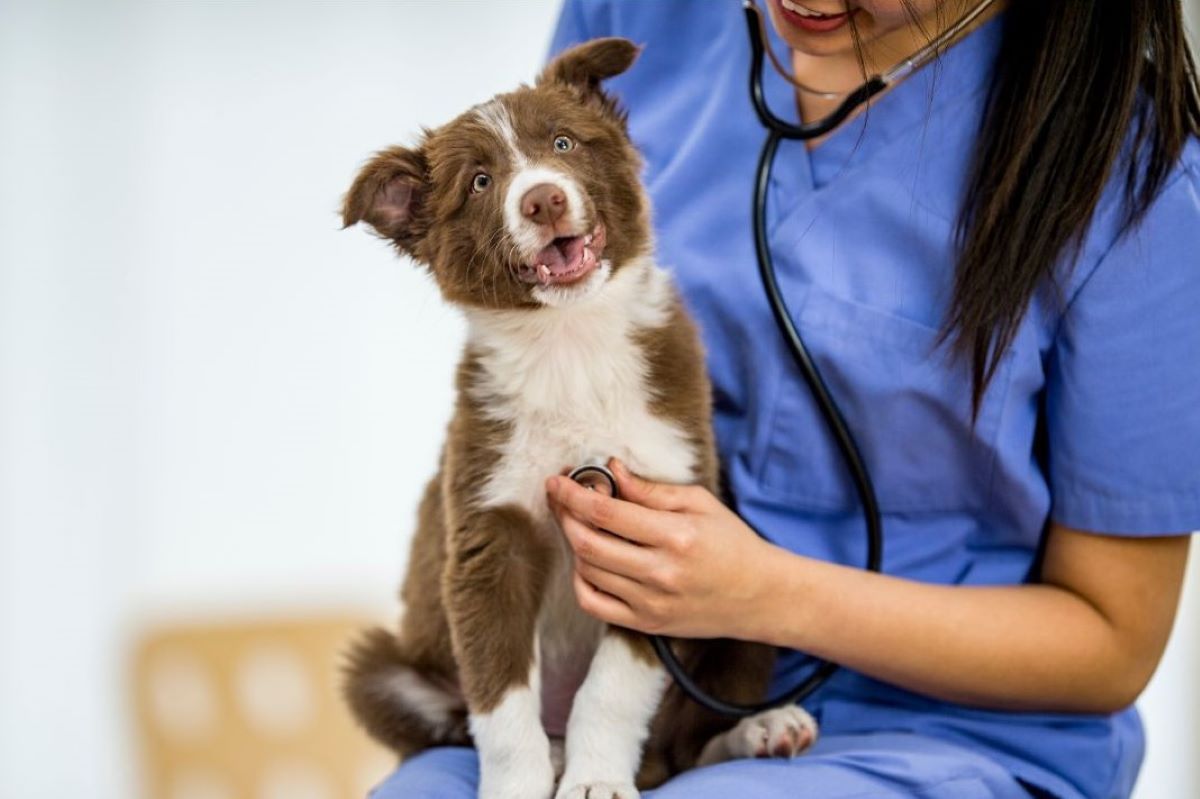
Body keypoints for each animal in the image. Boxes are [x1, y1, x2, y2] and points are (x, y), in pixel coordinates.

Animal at [338, 37, 816, 796]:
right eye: (480, 182)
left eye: (563, 143)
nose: (543, 198)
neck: (570, 347)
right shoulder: (490, 533)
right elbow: (501, 700)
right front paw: (520, 785)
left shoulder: (658, 528)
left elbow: (613, 686)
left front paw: (597, 779)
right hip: (381, 668)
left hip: (747, 591)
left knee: (686, 743)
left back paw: (760, 730)